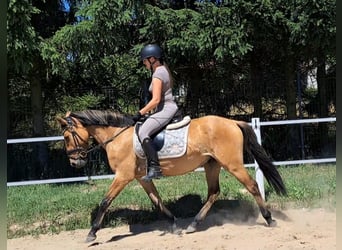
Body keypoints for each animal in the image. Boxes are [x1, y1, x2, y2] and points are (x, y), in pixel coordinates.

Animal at [56, 109, 286, 242]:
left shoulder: (123, 176)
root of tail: (232, 122)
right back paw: (193, 224)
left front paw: (91, 233)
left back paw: (269, 219)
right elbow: (157, 201)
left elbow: (105, 201)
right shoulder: (141, 178)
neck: (117, 137)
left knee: (252, 186)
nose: (75, 163)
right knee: (213, 192)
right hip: (212, 165)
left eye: (67, 137)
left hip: (232, 164)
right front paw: (174, 224)